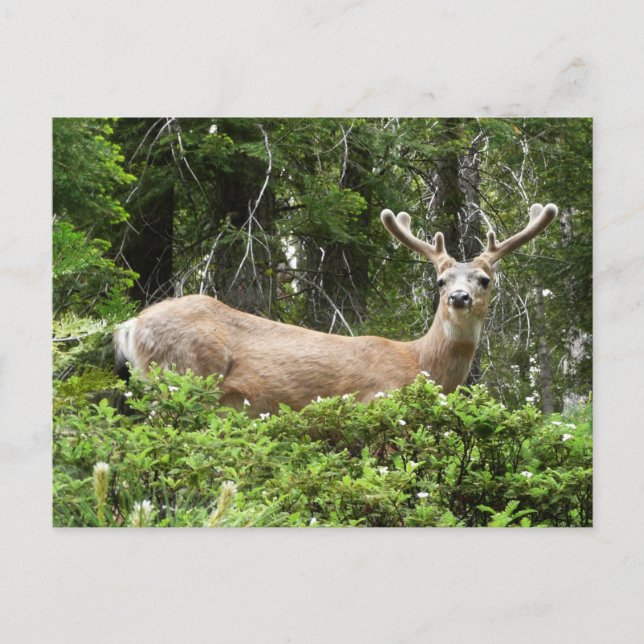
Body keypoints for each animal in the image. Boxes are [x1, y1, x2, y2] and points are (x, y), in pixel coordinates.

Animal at [114, 202, 557, 415]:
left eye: (484, 279)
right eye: (440, 281)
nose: (459, 297)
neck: (419, 364)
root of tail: (130, 325)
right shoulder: (376, 403)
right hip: (180, 373)